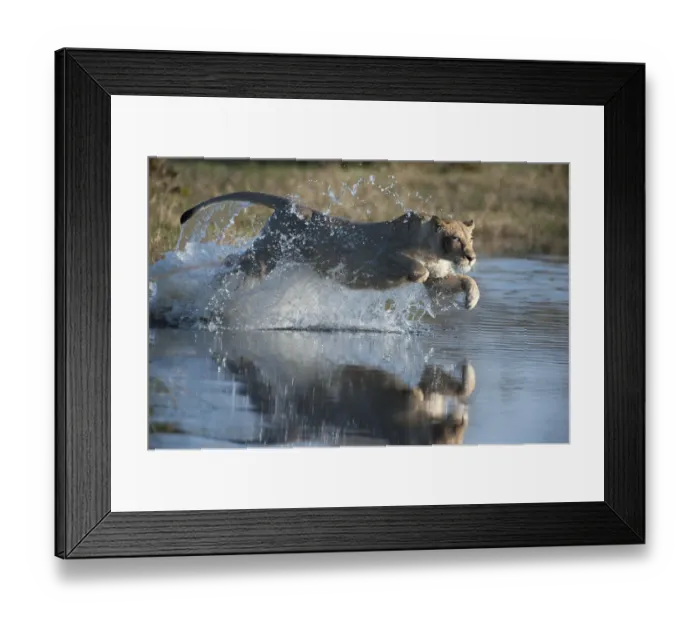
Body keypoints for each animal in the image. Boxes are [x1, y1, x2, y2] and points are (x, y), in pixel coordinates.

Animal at [180, 191, 480, 310]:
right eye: (455, 239)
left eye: (470, 239)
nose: (471, 256)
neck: (435, 251)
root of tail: (292, 204)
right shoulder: (381, 255)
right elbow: (416, 268)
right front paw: (415, 275)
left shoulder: (439, 280)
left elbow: (466, 280)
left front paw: (470, 301)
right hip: (267, 255)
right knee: (233, 261)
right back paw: (208, 289)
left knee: (234, 261)